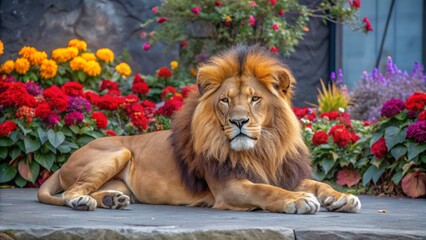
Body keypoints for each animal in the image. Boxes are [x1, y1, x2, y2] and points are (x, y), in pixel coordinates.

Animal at [38, 45, 362, 214]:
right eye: (225, 101)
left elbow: (316, 184)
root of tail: (65, 161)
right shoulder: (229, 187)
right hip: (117, 152)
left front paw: (341, 196)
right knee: (72, 191)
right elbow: (265, 191)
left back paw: (110, 200)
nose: (239, 121)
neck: (261, 151)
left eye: (255, 99)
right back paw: (82, 200)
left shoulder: (281, 172)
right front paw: (297, 200)